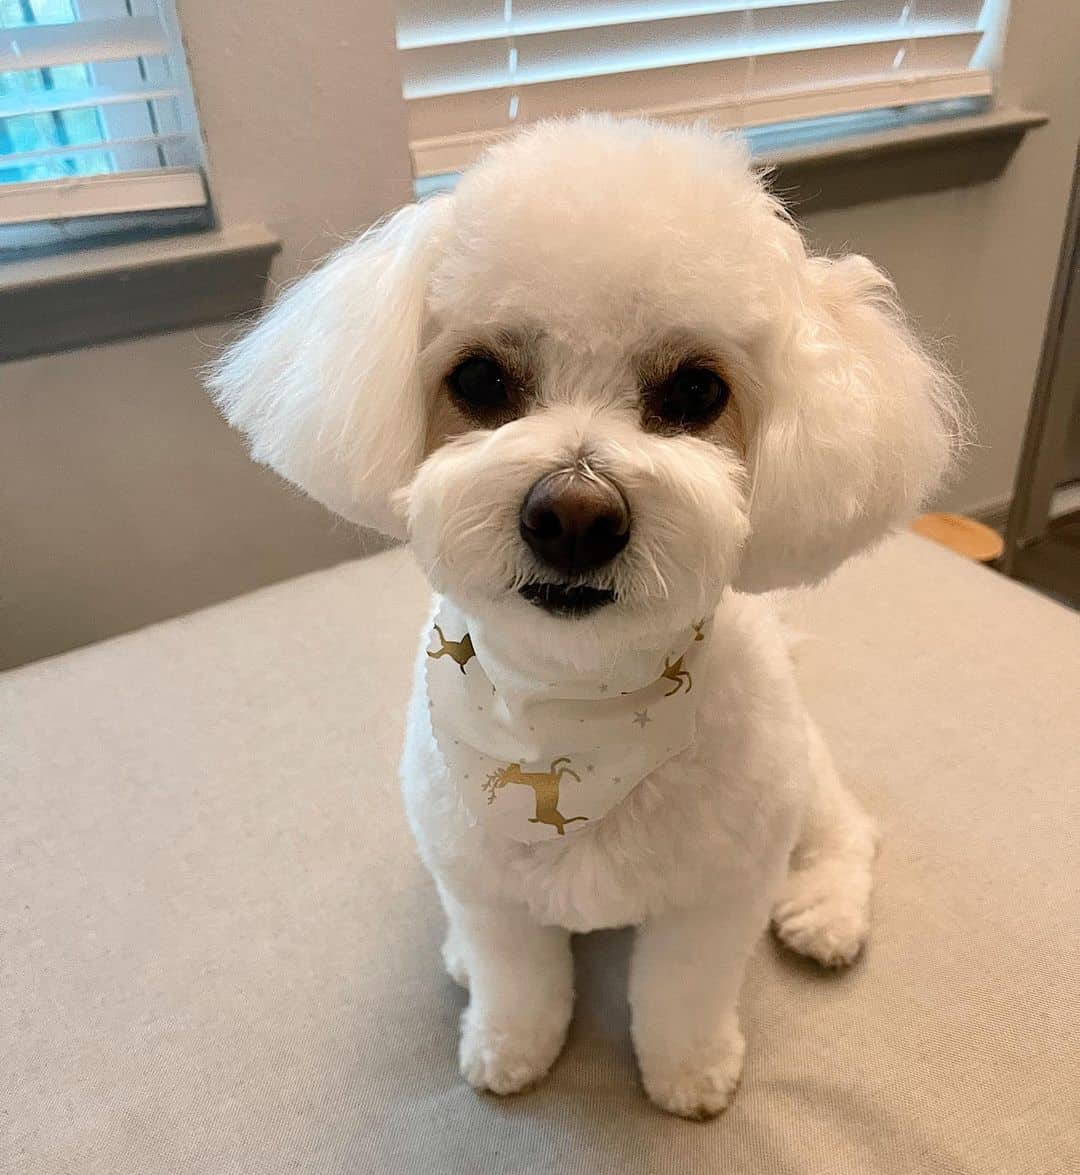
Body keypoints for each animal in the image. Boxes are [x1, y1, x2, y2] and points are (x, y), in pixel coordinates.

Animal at [206, 116, 958, 1118]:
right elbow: (516, 979)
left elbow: (684, 991)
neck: (575, 697)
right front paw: (508, 1048)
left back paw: (824, 911)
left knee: (847, 831)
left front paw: (691, 1073)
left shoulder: (714, 896)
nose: (575, 514)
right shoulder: (485, 886)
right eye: (481, 379)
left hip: (802, 780)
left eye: (695, 392)